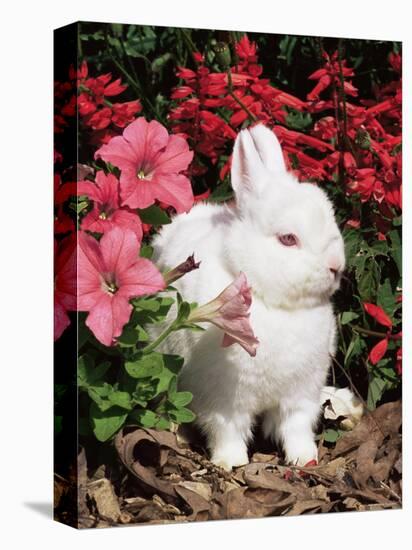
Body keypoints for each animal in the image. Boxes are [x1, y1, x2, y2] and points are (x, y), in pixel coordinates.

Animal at [151, 126, 344, 474]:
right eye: (288, 239)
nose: (336, 266)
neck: (275, 303)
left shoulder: (300, 397)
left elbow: (296, 428)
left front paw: (305, 458)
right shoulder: (224, 400)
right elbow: (227, 429)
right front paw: (230, 461)